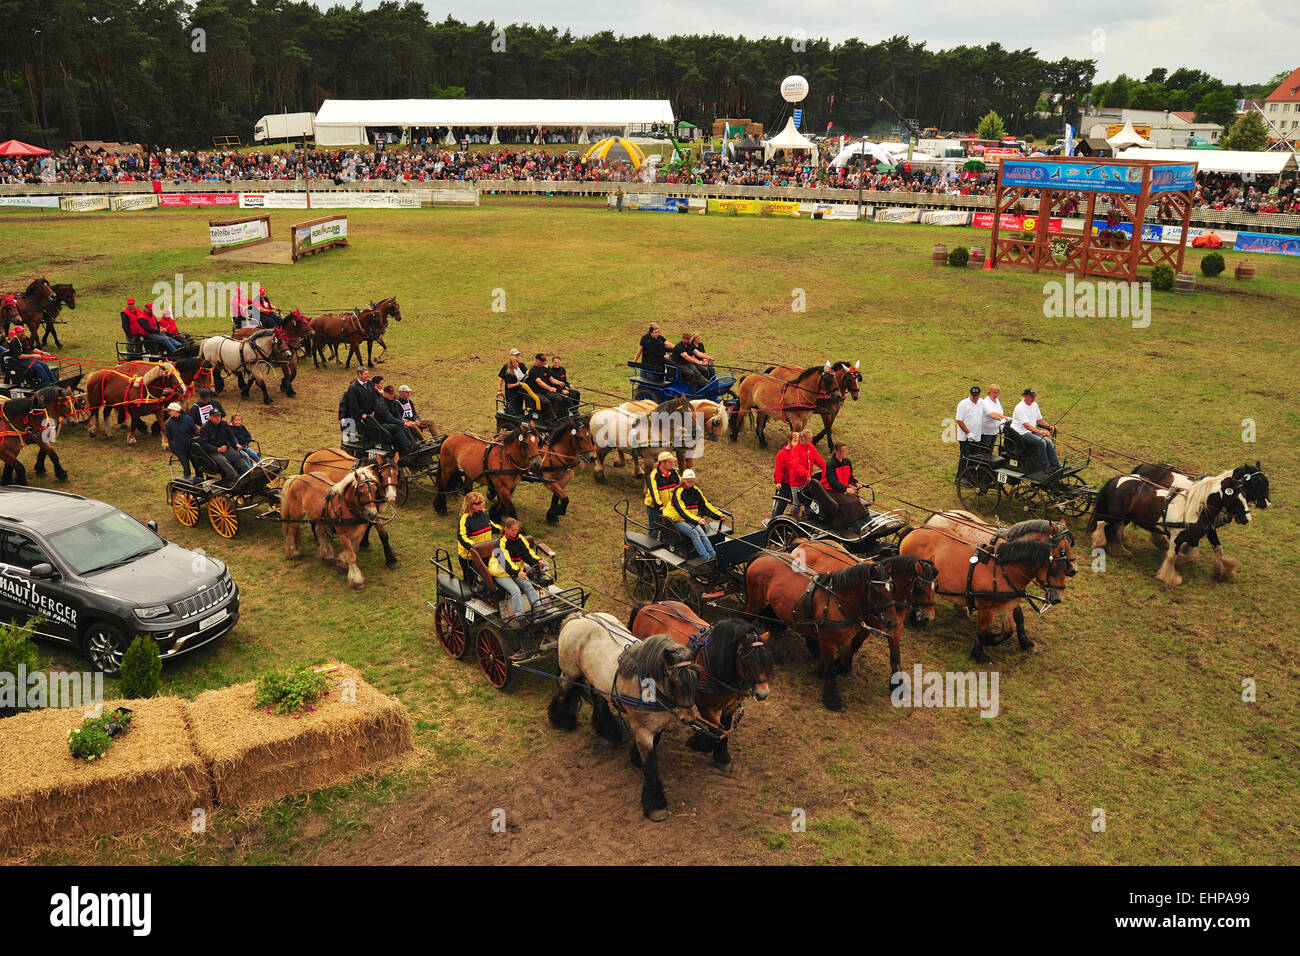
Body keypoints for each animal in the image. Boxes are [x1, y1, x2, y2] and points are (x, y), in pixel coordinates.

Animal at [621, 608, 764, 775]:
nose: (763, 693)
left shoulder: (731, 703)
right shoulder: (704, 705)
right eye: (747, 658)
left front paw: (721, 754)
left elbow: (725, 727)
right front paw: (705, 745)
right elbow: (717, 729)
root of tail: (646, 606)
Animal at [748, 554, 899, 712]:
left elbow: (842, 661)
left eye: (892, 589)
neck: (838, 603)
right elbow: (831, 668)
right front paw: (832, 698)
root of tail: (763, 555)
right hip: (755, 604)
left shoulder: (846, 640)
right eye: (877, 591)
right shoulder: (828, 642)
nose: (892, 622)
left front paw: (821, 670)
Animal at [780, 538, 935, 686]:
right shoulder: (865, 625)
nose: (928, 617)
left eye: (935, 586)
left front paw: (897, 684)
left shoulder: (893, 627)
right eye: (920, 585)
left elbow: (895, 655)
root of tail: (806, 542)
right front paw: (841, 666)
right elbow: (855, 644)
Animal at [899, 515, 1081, 665]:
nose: (1074, 570)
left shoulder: (1005, 605)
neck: (1004, 570)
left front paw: (1020, 642)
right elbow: (982, 631)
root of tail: (915, 530)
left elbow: (1010, 628)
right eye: (1061, 552)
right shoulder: (985, 608)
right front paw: (980, 652)